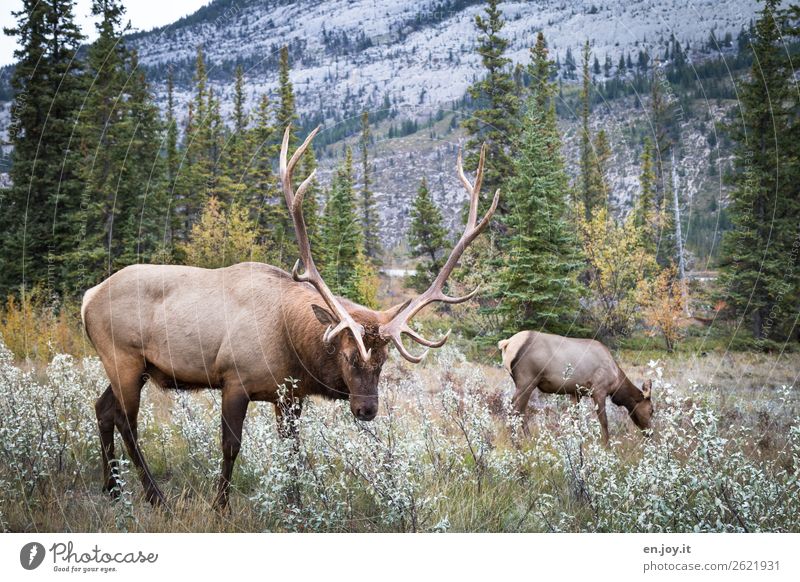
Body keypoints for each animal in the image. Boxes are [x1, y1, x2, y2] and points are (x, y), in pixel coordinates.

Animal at [79, 125, 494, 508]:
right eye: (347, 355)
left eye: (384, 361)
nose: (366, 409)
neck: (291, 345)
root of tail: (87, 298)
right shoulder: (234, 380)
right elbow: (230, 447)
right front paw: (220, 504)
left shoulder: (290, 395)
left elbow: (292, 451)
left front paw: (295, 503)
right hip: (124, 358)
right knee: (127, 422)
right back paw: (154, 496)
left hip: (135, 366)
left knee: (102, 409)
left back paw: (112, 488)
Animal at [496, 330, 652, 444]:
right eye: (651, 410)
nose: (650, 433)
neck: (616, 382)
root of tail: (507, 343)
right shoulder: (599, 390)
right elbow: (604, 422)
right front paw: (606, 445)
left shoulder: (575, 392)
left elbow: (575, 420)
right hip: (527, 381)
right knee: (515, 410)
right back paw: (520, 443)